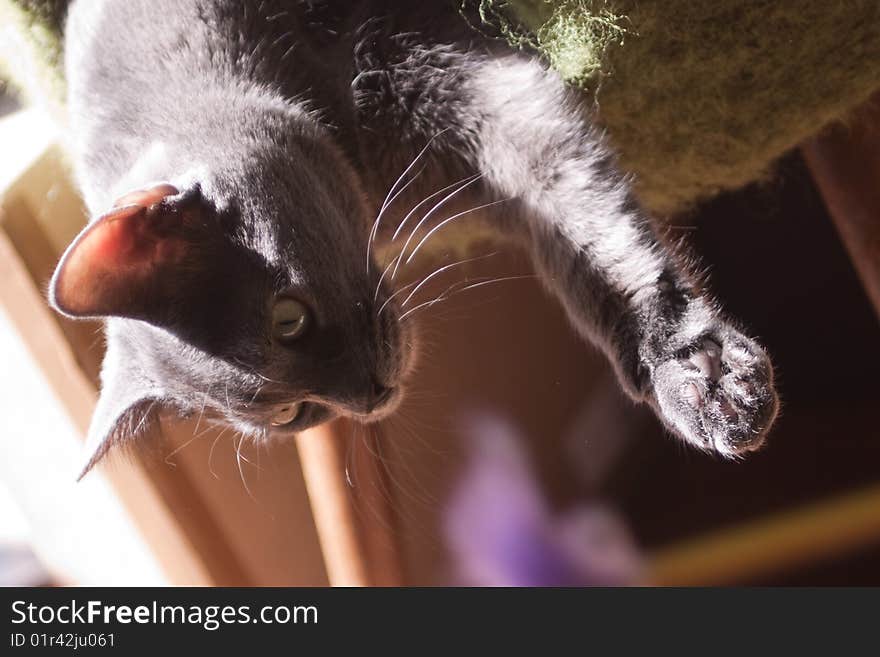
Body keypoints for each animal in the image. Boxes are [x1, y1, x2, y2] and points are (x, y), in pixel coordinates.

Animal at [49, 0, 776, 474]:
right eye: (290, 417)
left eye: (288, 319)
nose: (369, 399)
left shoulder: (459, 77)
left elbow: (595, 236)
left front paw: (695, 371)